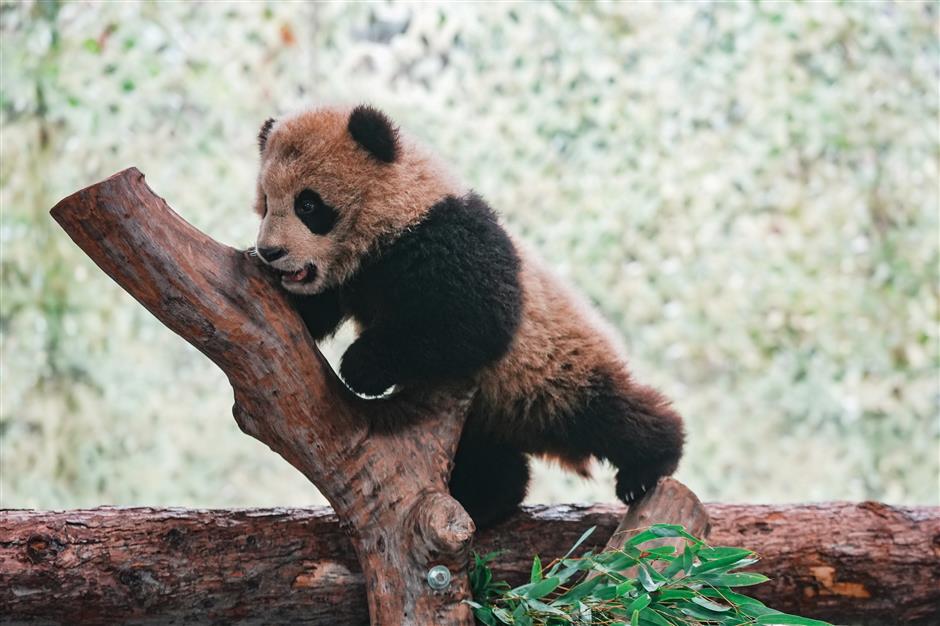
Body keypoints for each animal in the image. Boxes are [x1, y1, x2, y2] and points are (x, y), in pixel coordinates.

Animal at [252, 104, 685, 528]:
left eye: (308, 205)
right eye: (266, 203)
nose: (270, 252)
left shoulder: (446, 236)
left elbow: (478, 320)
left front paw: (362, 366)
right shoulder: (349, 277)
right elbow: (315, 311)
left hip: (558, 367)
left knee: (609, 413)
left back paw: (649, 465)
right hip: (487, 412)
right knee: (490, 458)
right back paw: (484, 499)